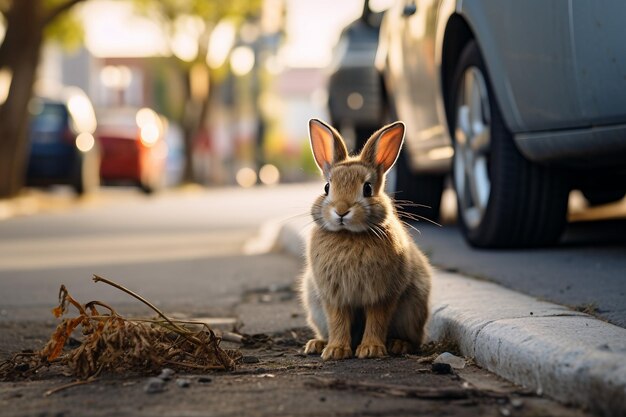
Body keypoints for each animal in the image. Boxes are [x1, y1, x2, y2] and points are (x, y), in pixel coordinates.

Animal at [300, 118, 432, 360]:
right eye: (327, 187)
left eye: (368, 188)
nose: (341, 211)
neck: (349, 235)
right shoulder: (334, 295)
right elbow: (338, 321)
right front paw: (335, 351)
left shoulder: (381, 294)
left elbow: (376, 319)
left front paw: (371, 350)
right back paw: (317, 344)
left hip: (412, 311)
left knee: (414, 339)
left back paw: (398, 345)